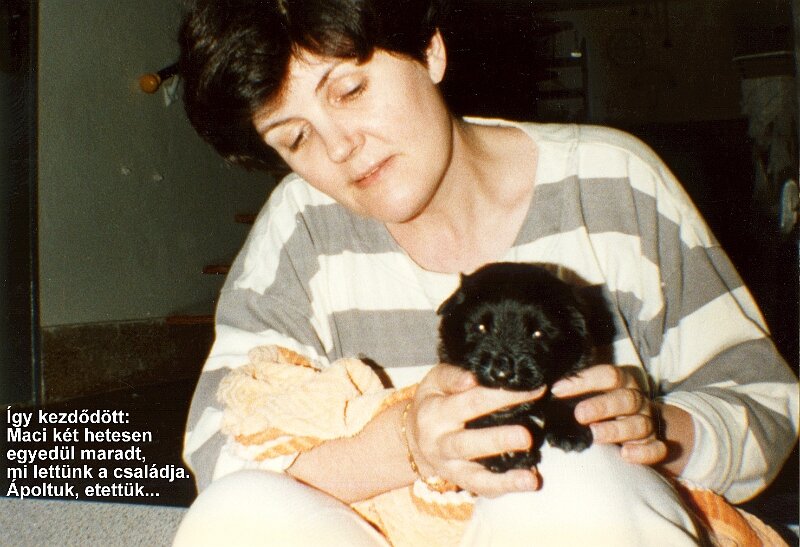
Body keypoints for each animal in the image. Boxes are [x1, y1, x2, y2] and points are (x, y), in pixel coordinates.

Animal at [437, 262, 594, 472]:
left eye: (538, 333)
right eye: (480, 328)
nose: (501, 373)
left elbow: (566, 393)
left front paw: (569, 429)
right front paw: (504, 452)